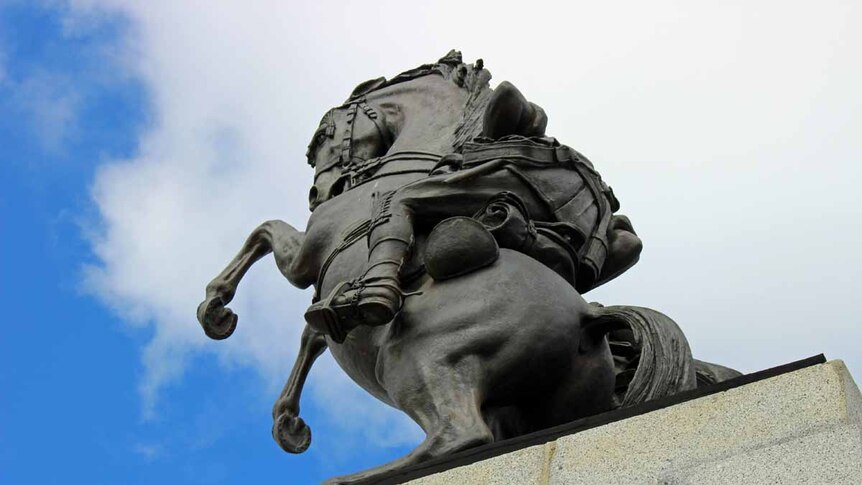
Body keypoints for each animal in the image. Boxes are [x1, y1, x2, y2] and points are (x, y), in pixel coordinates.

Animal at [201, 51, 708, 482]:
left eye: (322, 139)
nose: (318, 191)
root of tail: (589, 316)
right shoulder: (325, 290)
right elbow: (313, 333)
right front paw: (288, 421)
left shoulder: (305, 258)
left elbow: (263, 233)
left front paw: (215, 310)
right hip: (536, 407)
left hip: (422, 360)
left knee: (460, 434)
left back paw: (354, 477)